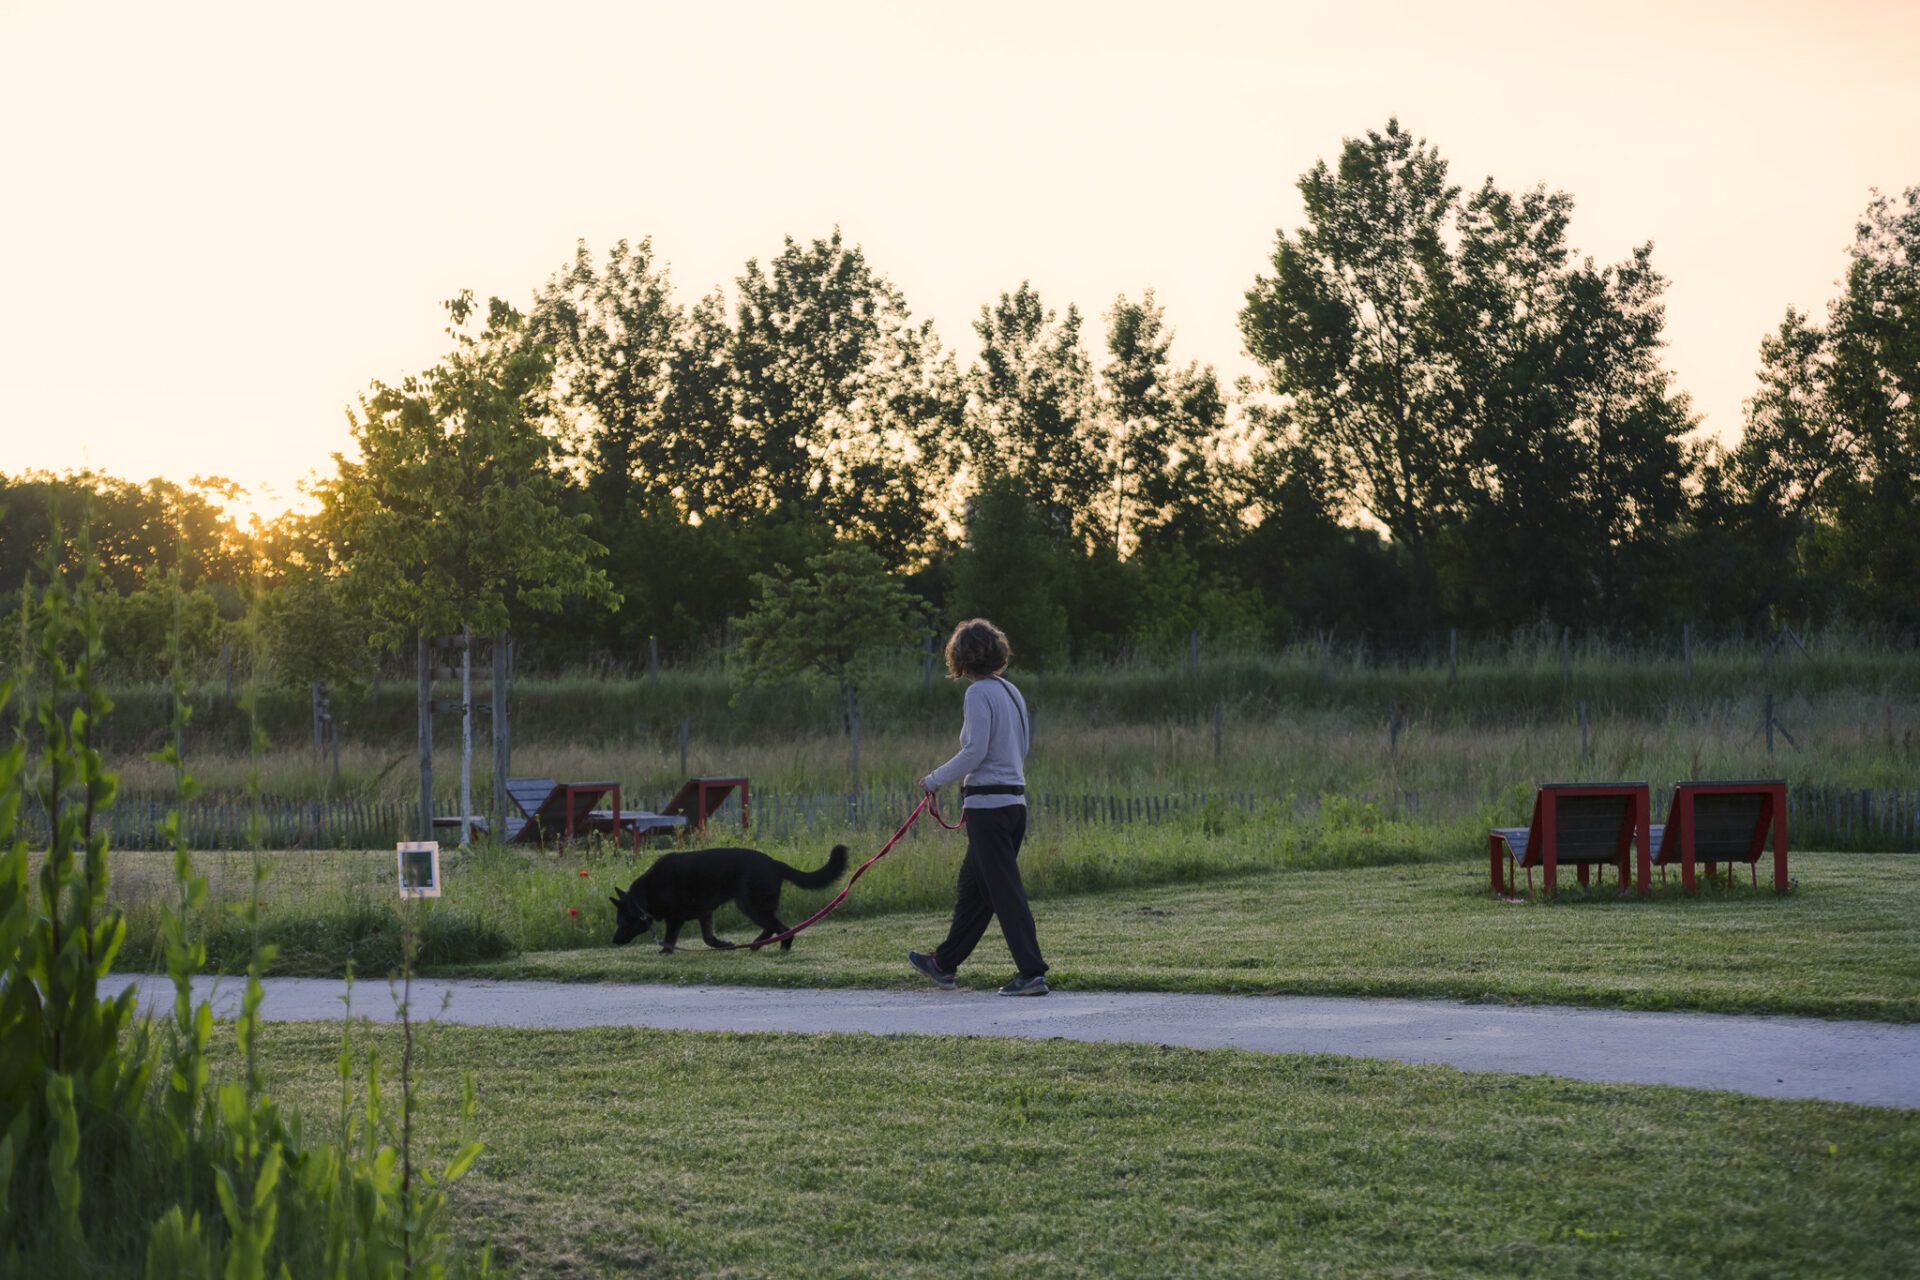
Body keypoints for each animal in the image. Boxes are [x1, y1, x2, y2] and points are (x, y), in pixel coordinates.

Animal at [610, 852, 852, 951]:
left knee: (781, 928)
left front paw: (665, 952)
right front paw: (723, 944)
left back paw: (780, 947)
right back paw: (757, 945)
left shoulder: (676, 919)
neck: (643, 898)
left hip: (749, 904)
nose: (614, 941)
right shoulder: (705, 913)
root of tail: (775, 863)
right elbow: (708, 938)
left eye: (621, 922)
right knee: (773, 926)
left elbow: (671, 938)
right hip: (751, 905)